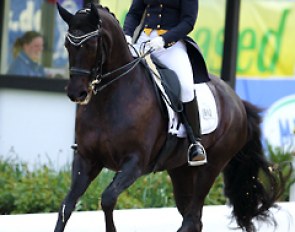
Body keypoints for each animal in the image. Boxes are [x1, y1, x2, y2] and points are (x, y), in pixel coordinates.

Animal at [55, 3, 286, 232]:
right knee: (193, 219)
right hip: (180, 170)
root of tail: (236, 100)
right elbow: (67, 205)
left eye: (92, 44)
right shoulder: (87, 159)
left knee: (191, 218)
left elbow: (108, 199)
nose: (76, 93)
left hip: (210, 167)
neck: (110, 99)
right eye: (67, 44)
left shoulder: (134, 163)